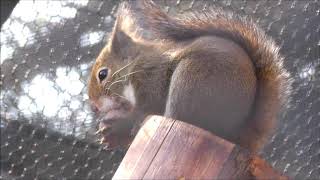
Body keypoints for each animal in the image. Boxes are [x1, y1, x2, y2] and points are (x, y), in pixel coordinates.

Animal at [88, 0, 292, 153]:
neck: (135, 64)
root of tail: (237, 134)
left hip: (190, 81)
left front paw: (118, 120)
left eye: (102, 74)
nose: (94, 107)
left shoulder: (152, 79)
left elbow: (145, 109)